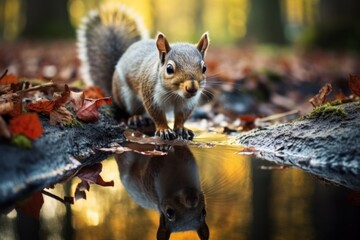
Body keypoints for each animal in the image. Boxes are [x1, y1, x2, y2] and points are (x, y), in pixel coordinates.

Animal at [77, 4, 210, 140]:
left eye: (204, 68)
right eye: (169, 69)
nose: (192, 87)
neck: (174, 94)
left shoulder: (187, 102)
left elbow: (181, 116)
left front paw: (182, 129)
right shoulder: (150, 94)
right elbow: (157, 114)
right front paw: (164, 130)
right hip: (126, 97)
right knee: (132, 111)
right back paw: (137, 117)